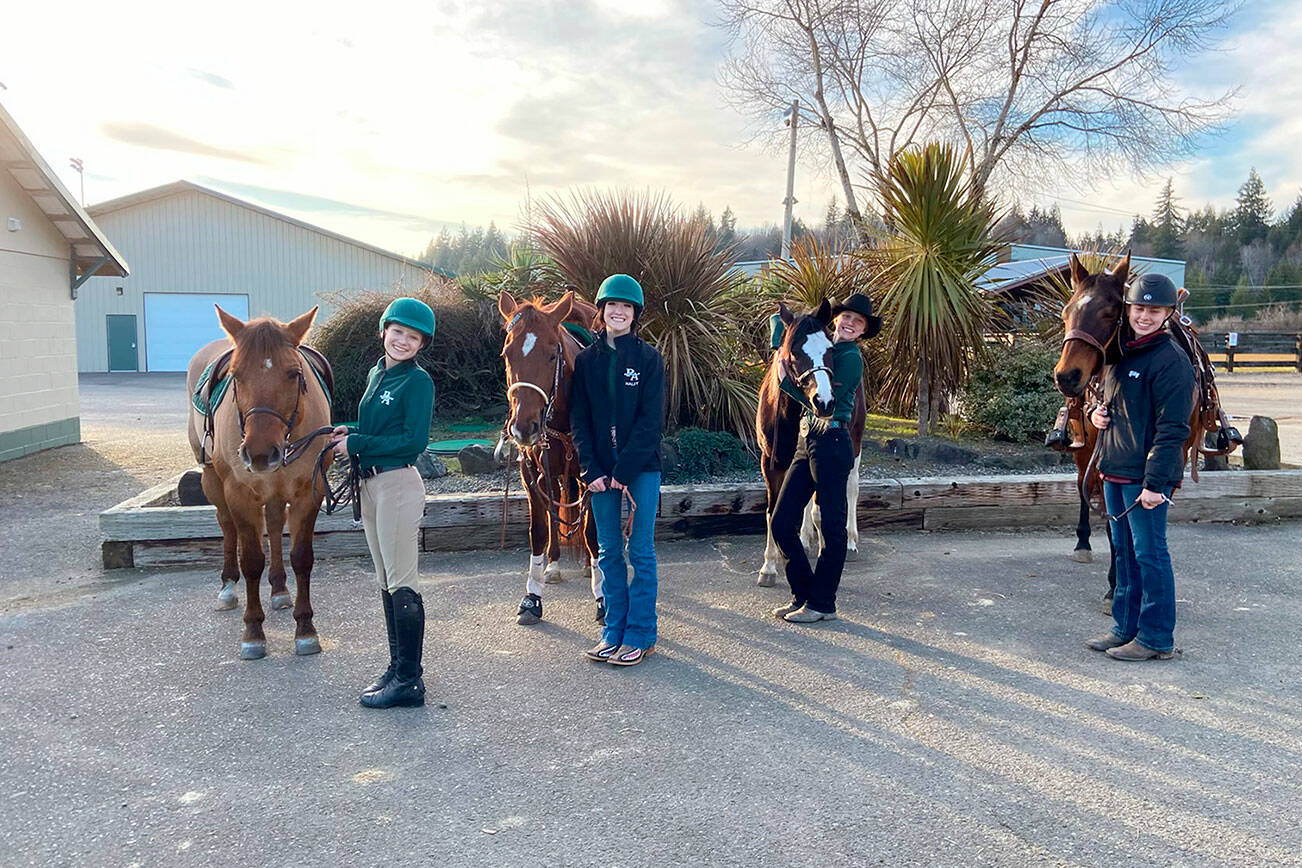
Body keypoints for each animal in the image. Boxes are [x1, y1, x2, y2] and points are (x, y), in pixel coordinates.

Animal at [186, 308, 335, 661]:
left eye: (293, 373)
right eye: (236, 375)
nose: (259, 453)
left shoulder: (308, 493)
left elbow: (301, 557)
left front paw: (305, 629)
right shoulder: (239, 494)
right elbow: (251, 560)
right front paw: (253, 632)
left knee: (276, 524)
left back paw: (279, 588)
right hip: (213, 480)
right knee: (227, 526)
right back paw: (228, 587)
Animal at [494, 291, 601, 624]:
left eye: (552, 354)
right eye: (507, 354)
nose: (523, 427)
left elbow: (592, 531)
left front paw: (602, 595)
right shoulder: (531, 475)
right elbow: (539, 532)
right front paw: (532, 598)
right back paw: (553, 564)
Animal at [755, 300, 864, 590]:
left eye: (830, 350)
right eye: (794, 351)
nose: (824, 401)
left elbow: (822, 510)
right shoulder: (771, 461)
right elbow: (773, 512)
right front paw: (769, 567)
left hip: (855, 445)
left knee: (852, 487)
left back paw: (850, 541)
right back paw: (805, 537)